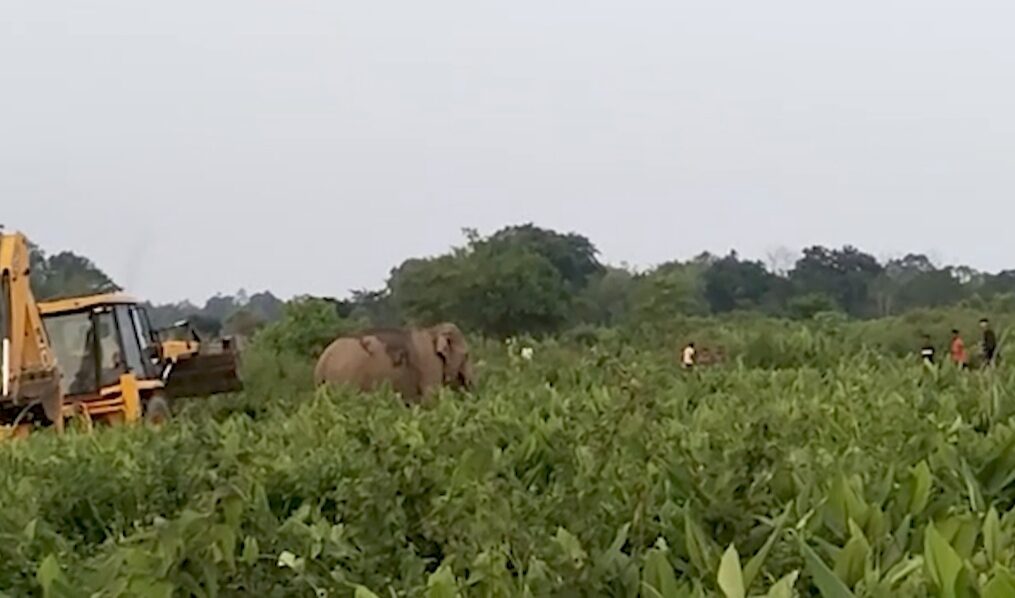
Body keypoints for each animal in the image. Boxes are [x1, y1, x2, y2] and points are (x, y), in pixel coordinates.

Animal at [312, 320, 475, 402]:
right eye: (467, 355)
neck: (433, 330)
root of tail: (325, 358)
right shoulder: (429, 363)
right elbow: (431, 397)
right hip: (345, 380)